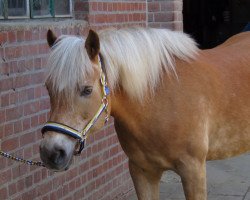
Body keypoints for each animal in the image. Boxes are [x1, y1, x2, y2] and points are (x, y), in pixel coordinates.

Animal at [39, 27, 250, 200]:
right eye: (48, 88)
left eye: (87, 90)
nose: (51, 152)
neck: (157, 99)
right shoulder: (141, 171)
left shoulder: (193, 171)